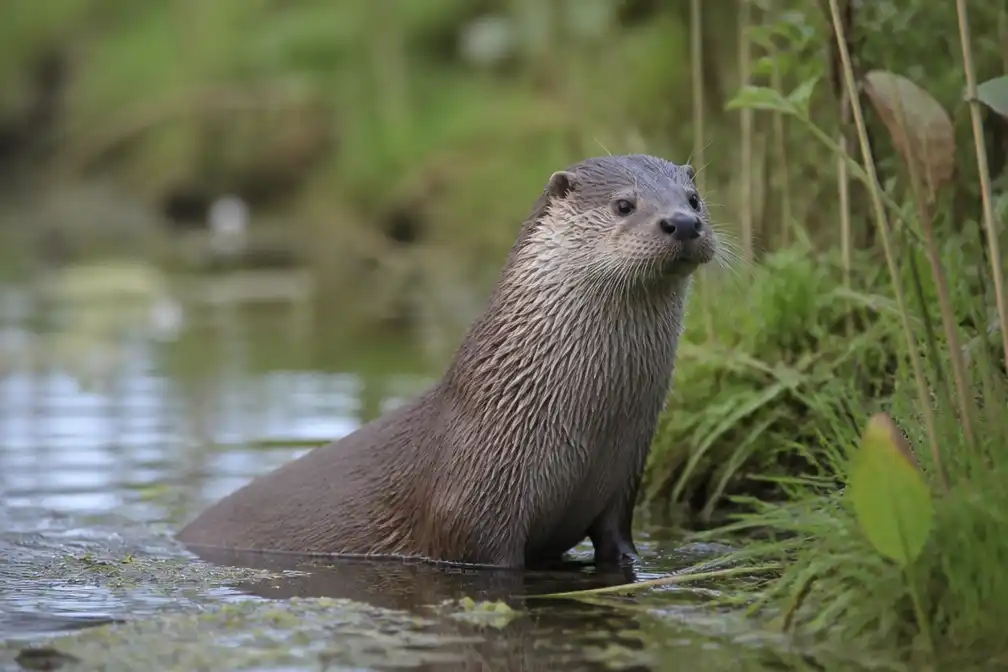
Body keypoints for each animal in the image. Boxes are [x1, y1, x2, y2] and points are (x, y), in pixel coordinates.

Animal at [177, 154, 719, 568]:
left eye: (694, 198)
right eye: (623, 204)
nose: (683, 223)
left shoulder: (624, 478)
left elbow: (617, 544)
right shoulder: (473, 518)